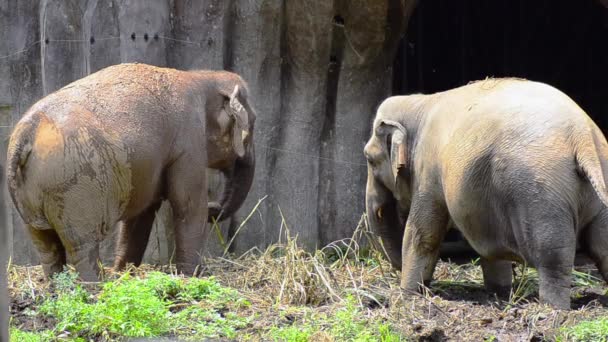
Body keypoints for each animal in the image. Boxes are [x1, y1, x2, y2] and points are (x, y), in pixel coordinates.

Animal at [5, 62, 256, 282]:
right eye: (252, 125)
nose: (215, 207)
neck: (202, 78)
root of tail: (26, 133)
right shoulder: (188, 145)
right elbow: (188, 206)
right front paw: (190, 278)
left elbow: (141, 216)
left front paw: (123, 274)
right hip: (72, 189)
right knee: (82, 246)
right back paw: (95, 292)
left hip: (31, 196)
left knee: (46, 246)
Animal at [366, 78, 608, 310]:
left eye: (369, 158)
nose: (397, 272)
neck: (418, 103)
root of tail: (583, 138)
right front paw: (500, 293)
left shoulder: (428, 171)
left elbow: (422, 235)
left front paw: (406, 297)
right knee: (602, 247)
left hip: (541, 192)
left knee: (553, 256)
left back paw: (553, 310)